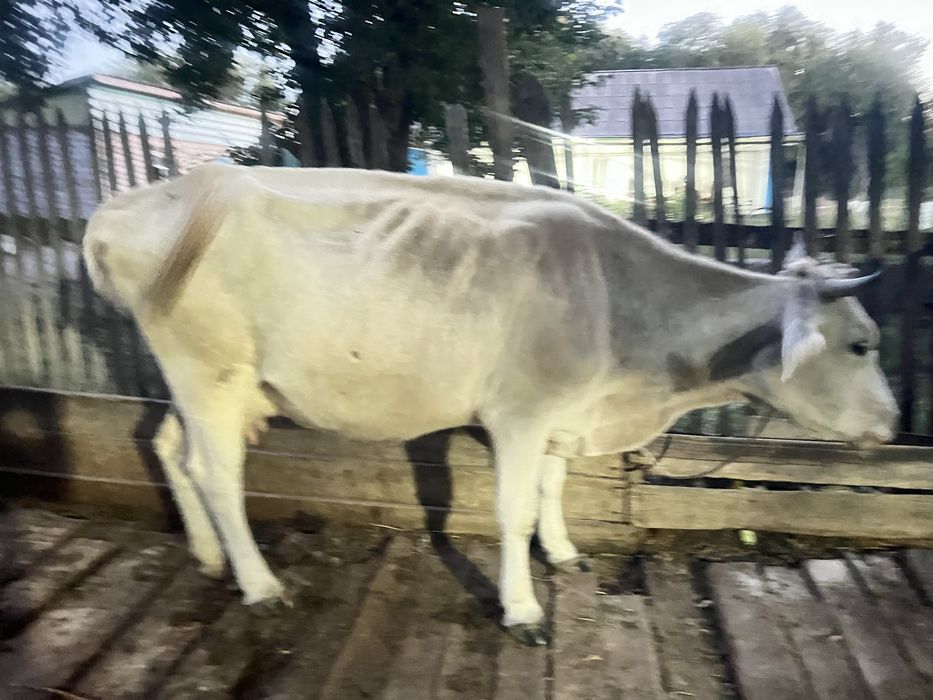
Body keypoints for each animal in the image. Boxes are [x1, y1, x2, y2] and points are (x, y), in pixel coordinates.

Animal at [82, 162, 897, 646]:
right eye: (861, 344)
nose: (892, 426)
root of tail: (136, 200)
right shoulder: (520, 413)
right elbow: (513, 512)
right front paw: (524, 610)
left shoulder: (561, 414)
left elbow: (550, 490)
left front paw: (563, 553)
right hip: (210, 371)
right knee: (217, 473)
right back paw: (258, 584)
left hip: (194, 380)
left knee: (169, 448)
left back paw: (208, 554)